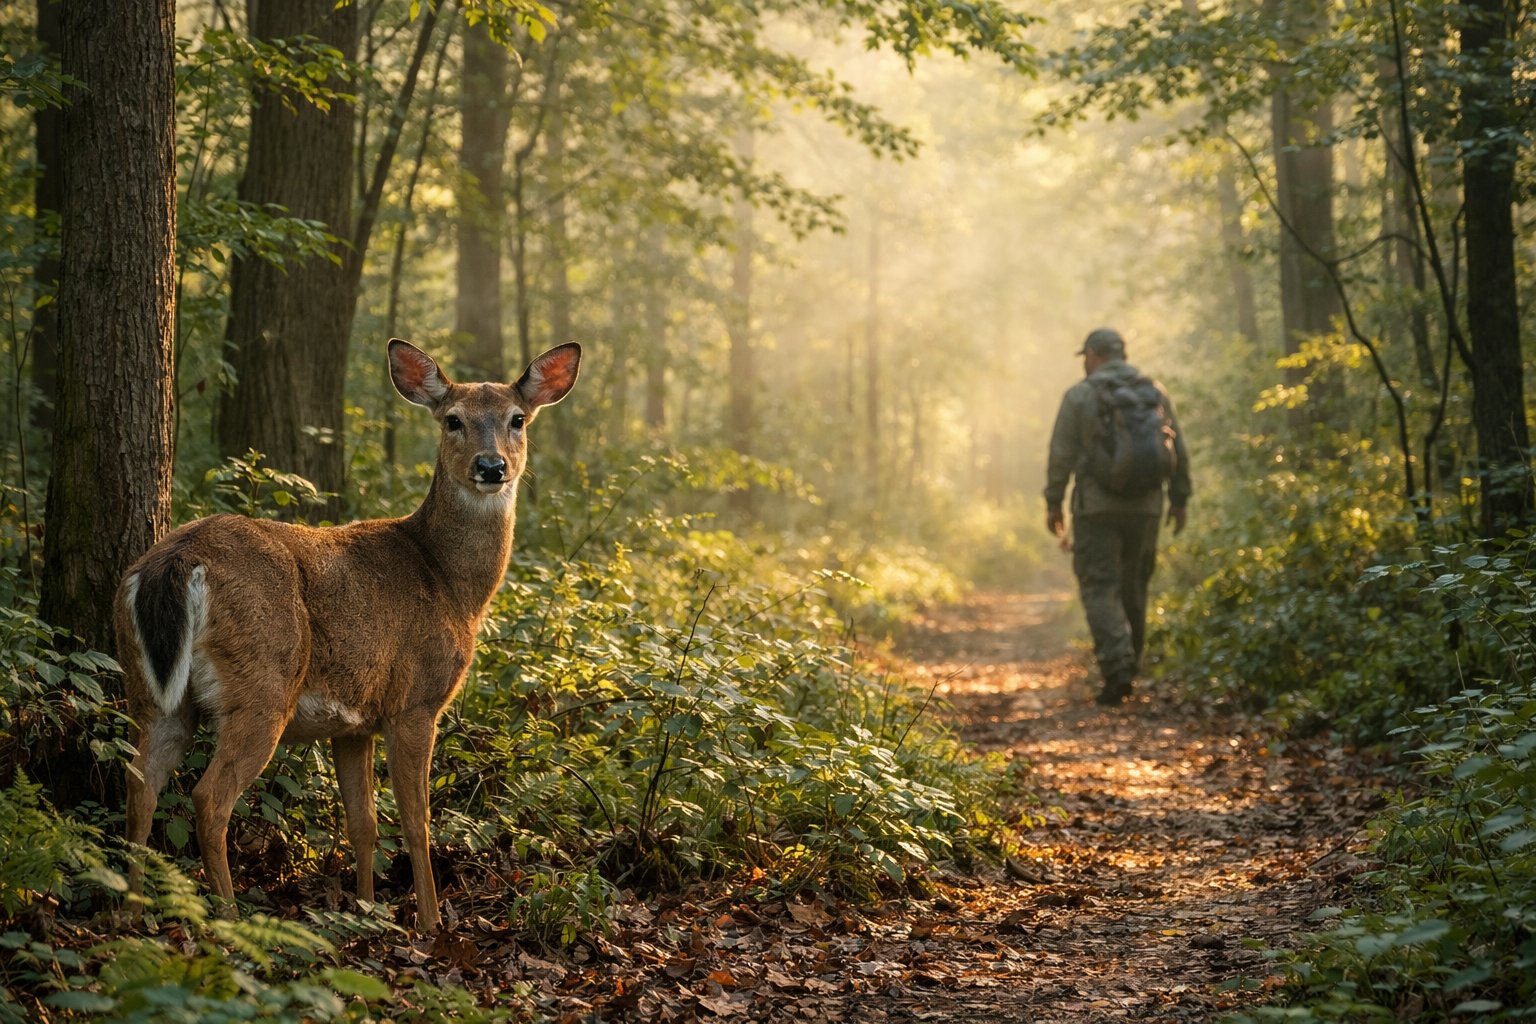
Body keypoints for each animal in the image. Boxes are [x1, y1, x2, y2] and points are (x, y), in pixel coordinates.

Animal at [115, 338, 580, 934]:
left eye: (517, 419)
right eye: (453, 420)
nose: (491, 465)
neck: (449, 582)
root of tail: (177, 560)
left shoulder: (354, 722)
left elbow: (363, 823)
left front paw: (365, 910)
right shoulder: (416, 700)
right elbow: (416, 821)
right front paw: (430, 924)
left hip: (150, 687)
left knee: (139, 783)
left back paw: (132, 914)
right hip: (262, 682)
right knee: (208, 798)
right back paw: (230, 919)